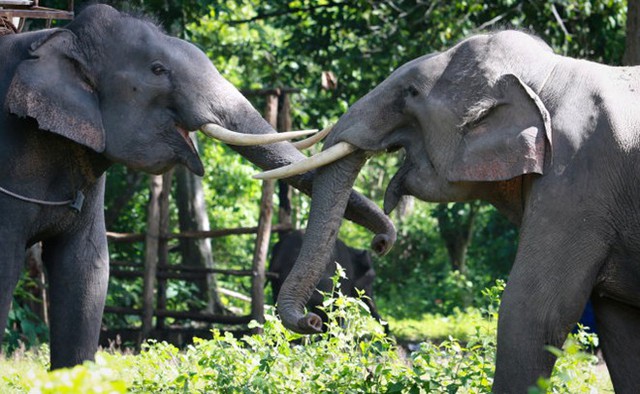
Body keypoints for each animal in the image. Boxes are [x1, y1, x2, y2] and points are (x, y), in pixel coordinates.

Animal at [260, 30, 640, 394]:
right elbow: (620, 323)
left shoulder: (576, 180)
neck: (550, 74)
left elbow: (532, 312)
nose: (311, 322)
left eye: (411, 92)